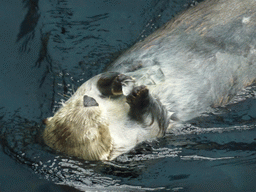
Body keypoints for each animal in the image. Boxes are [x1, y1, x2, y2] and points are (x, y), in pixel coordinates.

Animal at [43, 0, 256, 160]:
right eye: (94, 128)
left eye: (76, 104)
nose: (89, 100)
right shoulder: (146, 132)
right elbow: (157, 117)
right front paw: (139, 94)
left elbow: (102, 77)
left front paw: (115, 80)